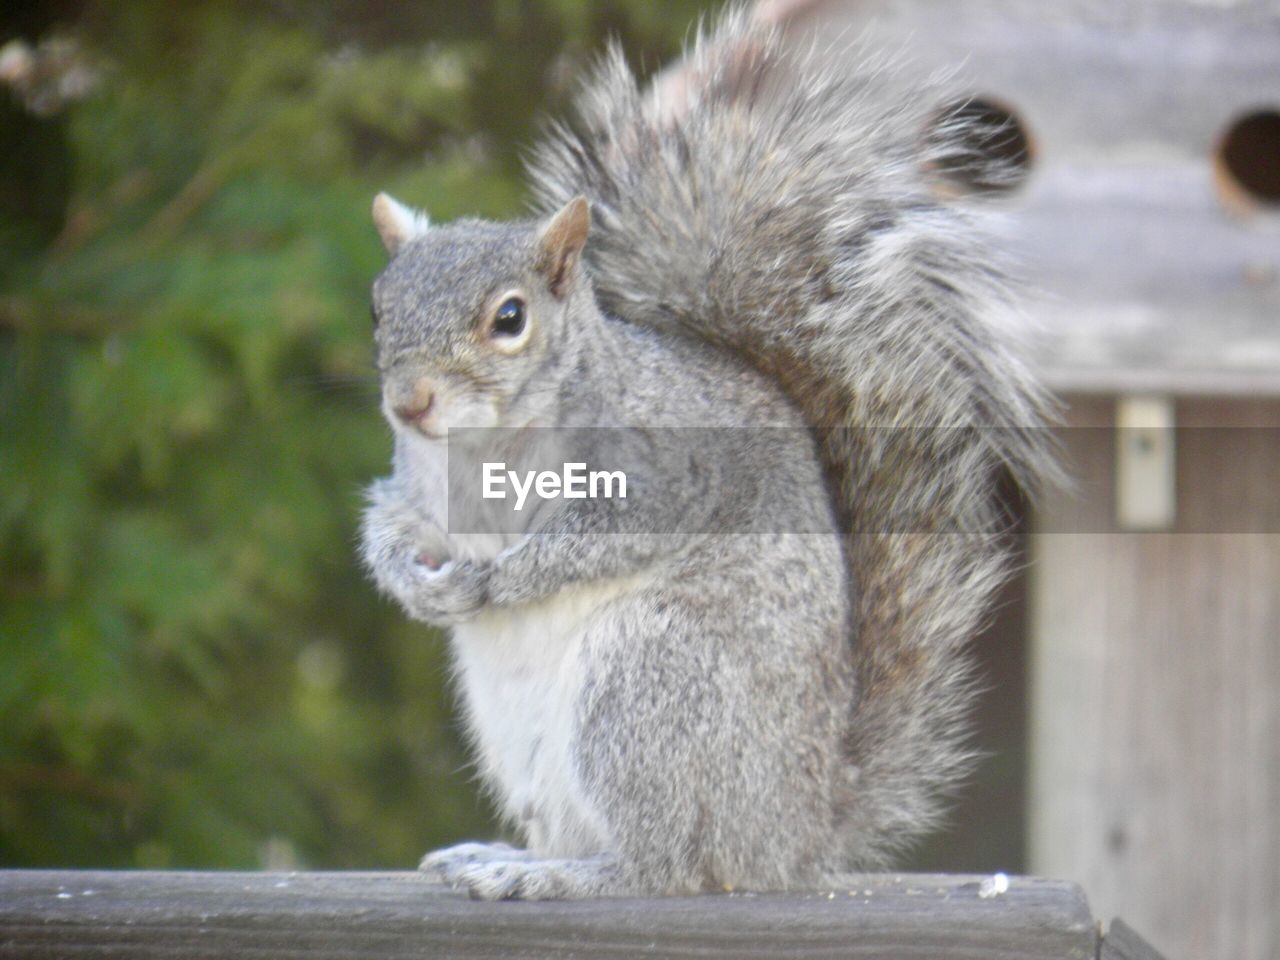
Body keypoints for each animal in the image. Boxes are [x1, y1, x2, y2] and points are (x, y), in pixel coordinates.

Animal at [358, 7, 1049, 901]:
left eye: (509, 318)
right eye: (378, 310)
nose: (409, 403)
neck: (480, 445)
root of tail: (795, 838)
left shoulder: (665, 470)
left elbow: (604, 534)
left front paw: (503, 579)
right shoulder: (414, 482)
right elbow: (391, 521)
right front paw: (414, 581)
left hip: (649, 685)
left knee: (670, 867)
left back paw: (559, 877)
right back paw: (506, 856)